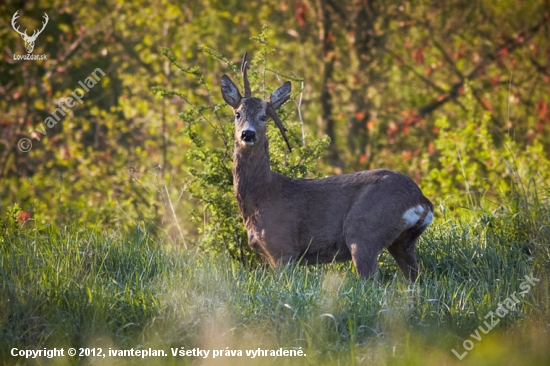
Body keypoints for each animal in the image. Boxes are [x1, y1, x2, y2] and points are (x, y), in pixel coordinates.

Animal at [221, 53, 436, 278]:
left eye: (264, 117)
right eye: (237, 114)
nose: (248, 134)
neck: (260, 195)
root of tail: (422, 201)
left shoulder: (283, 247)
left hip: (364, 230)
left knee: (372, 278)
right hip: (402, 242)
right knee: (416, 278)